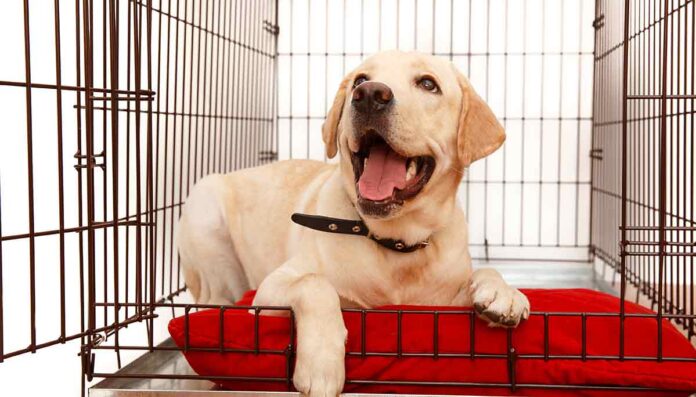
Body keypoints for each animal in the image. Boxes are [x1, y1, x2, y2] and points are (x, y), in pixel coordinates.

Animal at [178, 50, 528, 396]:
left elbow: (483, 273)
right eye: (360, 80)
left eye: (429, 84)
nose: (370, 94)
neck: (394, 243)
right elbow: (315, 284)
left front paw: (504, 293)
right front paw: (321, 363)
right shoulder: (270, 289)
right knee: (214, 302)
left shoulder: (439, 305)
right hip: (206, 212)